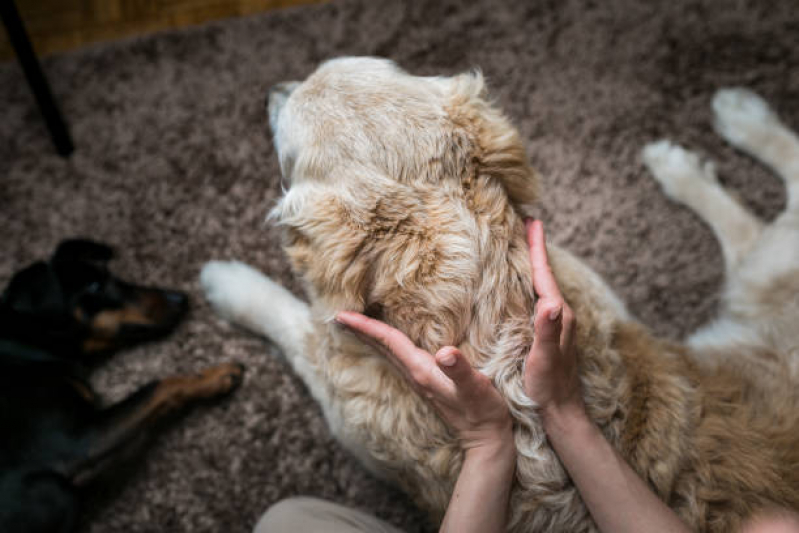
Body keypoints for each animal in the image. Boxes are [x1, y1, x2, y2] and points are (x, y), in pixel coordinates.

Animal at [0, 241, 244, 532]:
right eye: (94, 287)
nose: (181, 298)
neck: (24, 342)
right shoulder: (77, 443)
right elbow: (159, 385)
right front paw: (216, 376)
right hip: (58, 491)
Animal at [200, 56, 799, 528]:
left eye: (282, 148)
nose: (273, 89)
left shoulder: (345, 399)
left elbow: (291, 319)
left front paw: (226, 281)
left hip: (764, 276)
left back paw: (733, 122)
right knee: (749, 225)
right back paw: (695, 150)